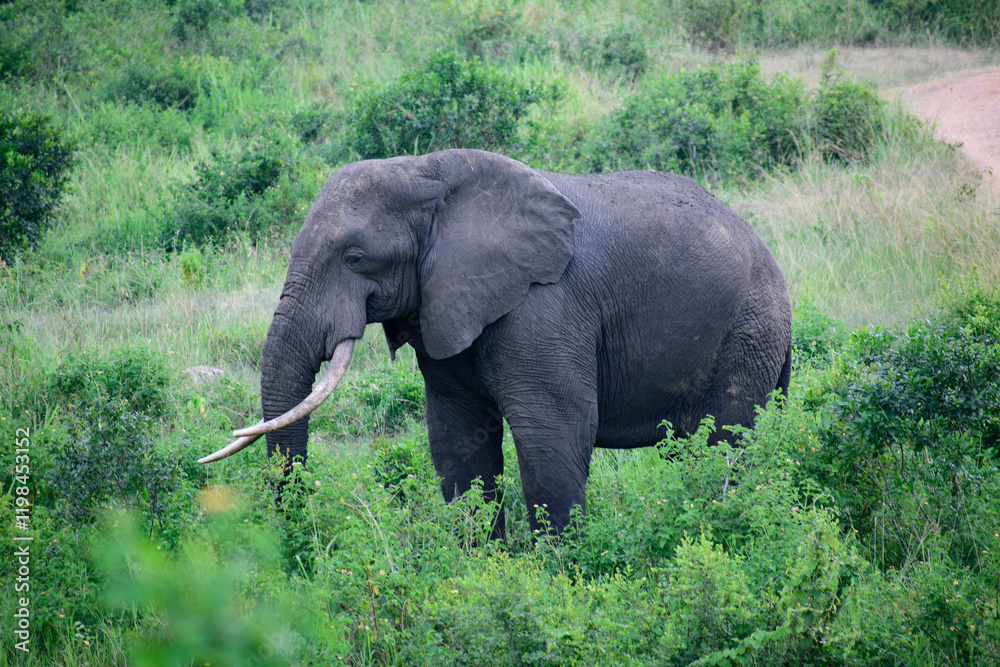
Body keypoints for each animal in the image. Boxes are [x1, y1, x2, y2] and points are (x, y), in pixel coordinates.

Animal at [201, 148, 792, 536]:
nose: (298, 540)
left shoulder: (545, 308)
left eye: (355, 258)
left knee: (724, 444)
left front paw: (561, 579)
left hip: (747, 333)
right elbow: (457, 441)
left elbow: (553, 434)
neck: (425, 173)